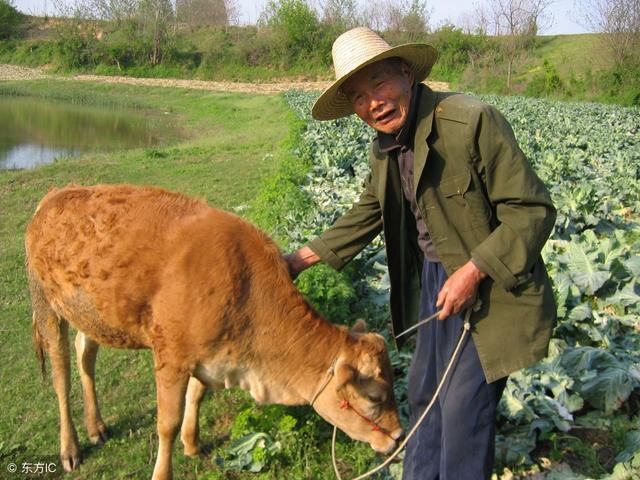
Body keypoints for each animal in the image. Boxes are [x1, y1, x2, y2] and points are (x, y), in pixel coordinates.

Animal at [26, 184, 404, 480]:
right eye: (374, 397)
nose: (399, 437)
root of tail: (56, 194)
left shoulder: (211, 353)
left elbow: (196, 396)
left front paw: (192, 444)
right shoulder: (172, 357)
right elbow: (167, 422)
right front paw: (164, 470)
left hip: (91, 314)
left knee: (85, 356)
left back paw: (97, 426)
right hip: (46, 306)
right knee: (61, 377)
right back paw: (70, 448)